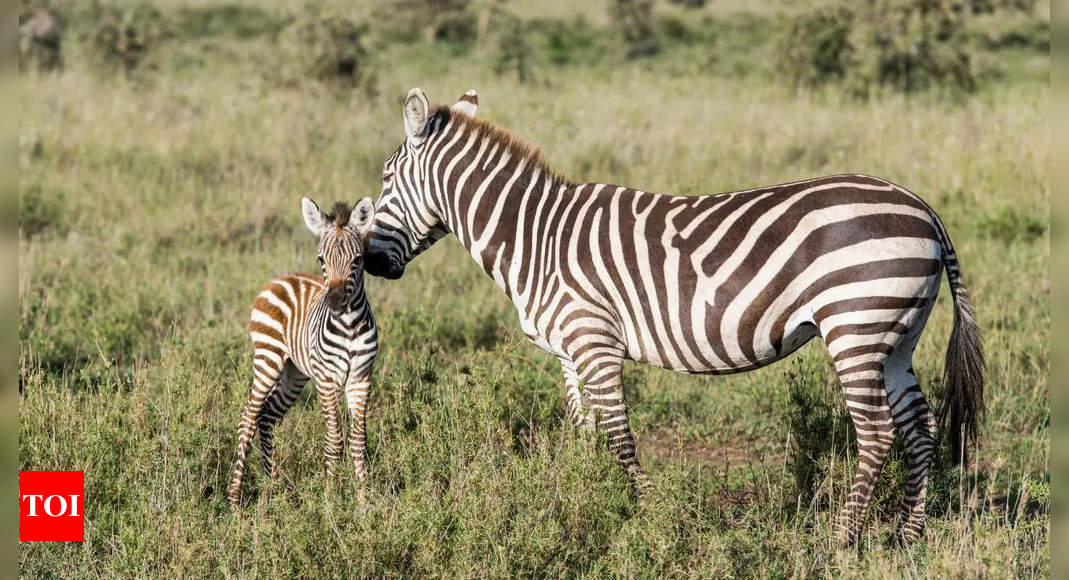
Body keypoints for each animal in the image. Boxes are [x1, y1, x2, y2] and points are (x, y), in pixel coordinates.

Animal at [227, 197, 378, 506]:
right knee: (249, 417)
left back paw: (272, 486)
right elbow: (335, 438)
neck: (349, 326)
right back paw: (235, 498)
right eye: (321, 259)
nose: (334, 301)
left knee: (268, 416)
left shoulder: (361, 378)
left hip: (294, 372)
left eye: (357, 261)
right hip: (268, 358)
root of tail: (280, 278)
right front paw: (331, 498)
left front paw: (363, 502)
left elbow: (359, 441)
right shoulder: (327, 379)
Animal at [365, 88, 983, 546]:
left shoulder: (594, 339)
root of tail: (924, 208)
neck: (536, 237)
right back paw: (906, 536)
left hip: (854, 326)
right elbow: (582, 433)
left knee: (878, 433)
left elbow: (618, 435)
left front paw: (649, 516)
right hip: (894, 338)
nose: (369, 263)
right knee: (920, 427)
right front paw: (578, 502)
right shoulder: (569, 351)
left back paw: (839, 541)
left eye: (385, 181)